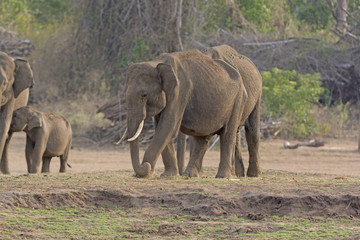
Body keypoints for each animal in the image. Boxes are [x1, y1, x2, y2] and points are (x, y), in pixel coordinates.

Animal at [122, 48, 255, 178]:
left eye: (144, 95)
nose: (144, 166)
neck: (157, 63)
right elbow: (162, 127)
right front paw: (168, 176)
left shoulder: (180, 91)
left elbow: (168, 126)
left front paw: (148, 171)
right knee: (203, 138)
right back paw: (190, 175)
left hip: (238, 101)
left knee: (227, 134)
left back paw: (222, 177)